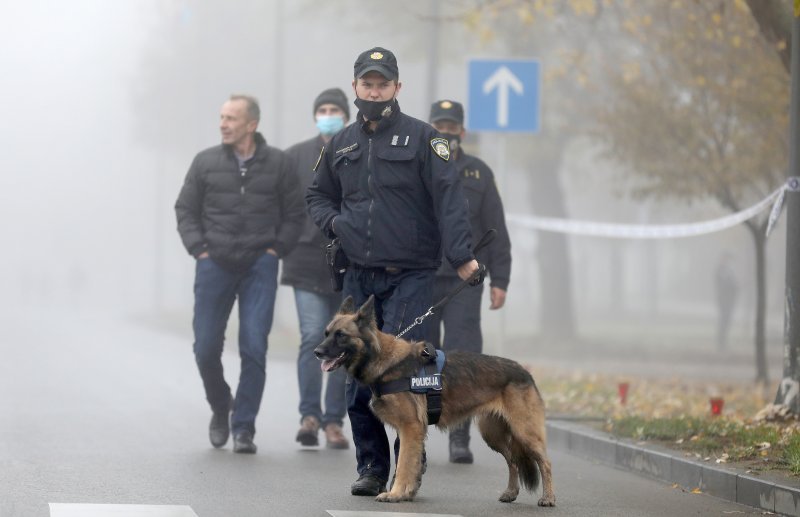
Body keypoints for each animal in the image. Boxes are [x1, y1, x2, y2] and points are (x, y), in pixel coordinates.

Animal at [314, 294, 556, 504]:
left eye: (341, 335)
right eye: (327, 333)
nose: (316, 352)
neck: (383, 360)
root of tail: (524, 371)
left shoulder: (410, 428)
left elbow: (404, 463)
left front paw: (395, 494)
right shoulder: (411, 431)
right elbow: (410, 463)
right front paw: (407, 493)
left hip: (524, 432)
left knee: (545, 462)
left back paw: (548, 498)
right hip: (493, 435)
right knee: (513, 461)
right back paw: (510, 492)